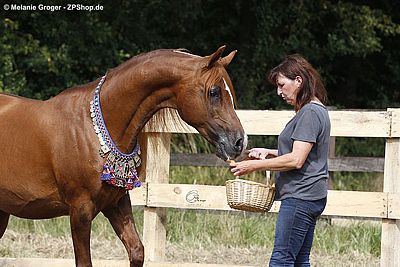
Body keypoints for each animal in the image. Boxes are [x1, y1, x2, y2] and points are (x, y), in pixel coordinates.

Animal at [0, 46, 245, 267]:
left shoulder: (116, 202)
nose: (239, 142)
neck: (94, 128)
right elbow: (84, 262)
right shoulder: (80, 210)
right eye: (214, 92)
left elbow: (137, 250)